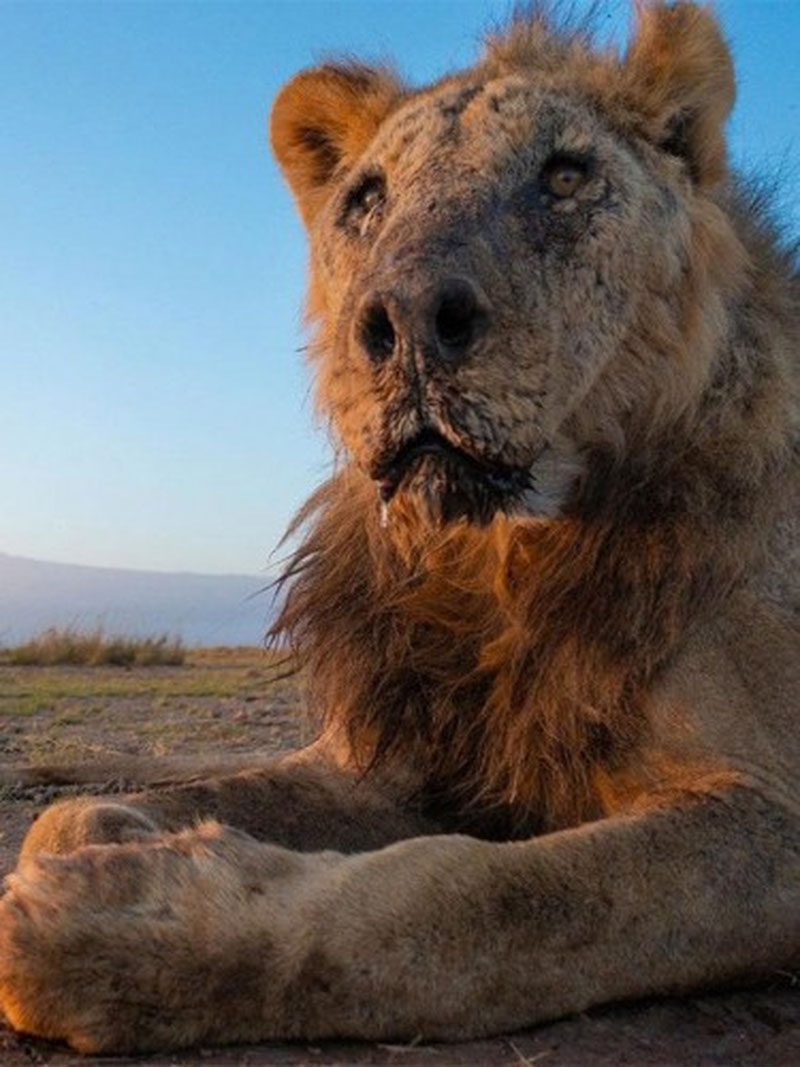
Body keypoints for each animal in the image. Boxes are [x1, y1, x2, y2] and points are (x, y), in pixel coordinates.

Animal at [1, 2, 800, 1049]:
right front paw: (120, 835)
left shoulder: (771, 817)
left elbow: (476, 900)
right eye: (368, 198)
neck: (493, 555)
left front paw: (125, 921)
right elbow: (71, 815)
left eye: (566, 176)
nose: (412, 317)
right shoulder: (393, 752)